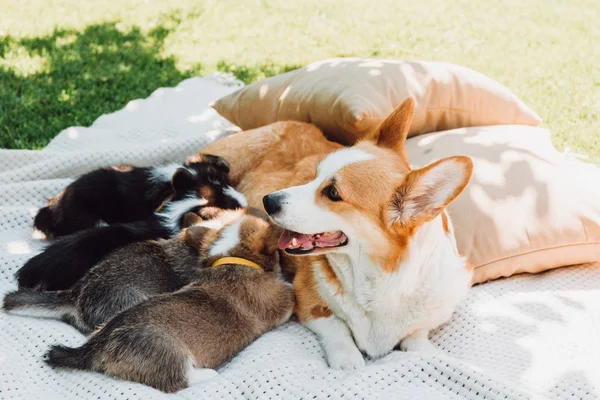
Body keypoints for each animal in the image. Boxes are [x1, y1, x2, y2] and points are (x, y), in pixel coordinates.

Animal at [39, 209, 292, 394]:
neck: (231, 258)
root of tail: (93, 348)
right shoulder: (280, 304)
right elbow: (288, 294)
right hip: (168, 351)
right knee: (176, 381)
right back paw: (207, 374)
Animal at [202, 99, 474, 368]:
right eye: (314, 176)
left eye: (333, 193)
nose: (267, 201)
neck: (380, 277)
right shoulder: (307, 299)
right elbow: (337, 328)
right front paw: (348, 362)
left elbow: (417, 338)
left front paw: (432, 353)